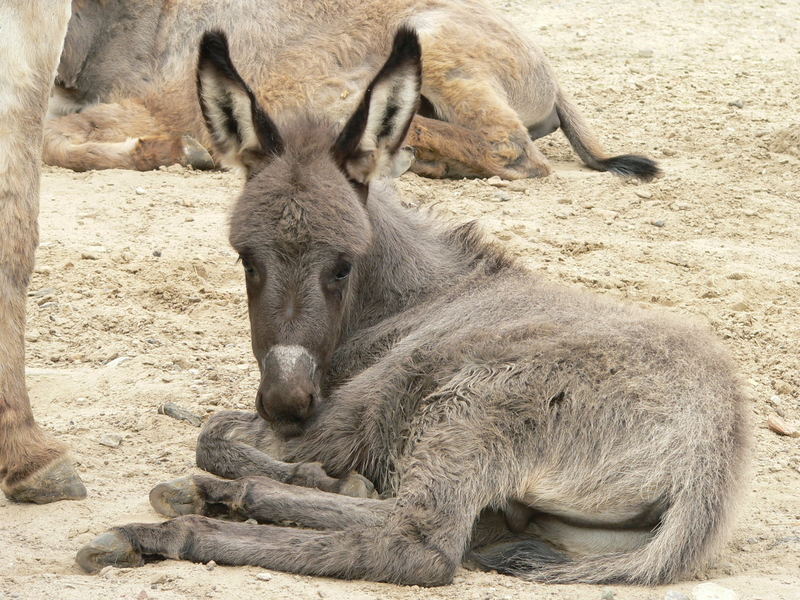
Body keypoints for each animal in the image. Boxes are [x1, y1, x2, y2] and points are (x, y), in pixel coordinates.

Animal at [76, 29, 752, 584]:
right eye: (246, 259)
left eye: (342, 265)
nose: (287, 399)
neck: (415, 298)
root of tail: (711, 454)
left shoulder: (347, 420)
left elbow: (212, 433)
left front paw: (283, 473)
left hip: (470, 407)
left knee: (416, 543)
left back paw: (174, 525)